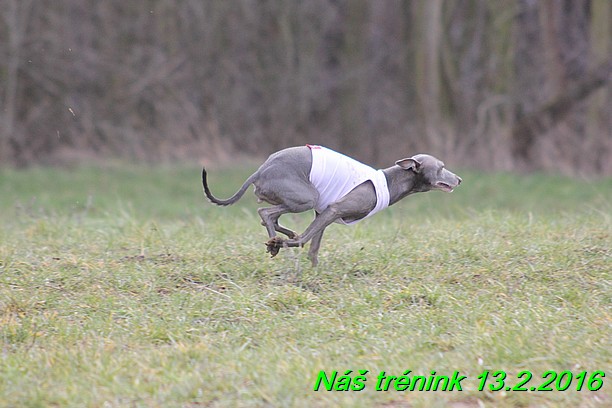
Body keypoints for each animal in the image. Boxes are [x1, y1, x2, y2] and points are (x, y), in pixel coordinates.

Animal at [203, 145, 462, 266]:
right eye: (441, 167)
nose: (459, 179)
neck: (389, 182)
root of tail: (260, 170)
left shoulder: (322, 212)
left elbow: (313, 248)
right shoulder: (334, 209)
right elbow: (304, 241)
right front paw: (285, 245)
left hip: (296, 199)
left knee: (271, 217)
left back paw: (278, 238)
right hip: (305, 196)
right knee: (265, 212)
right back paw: (275, 243)